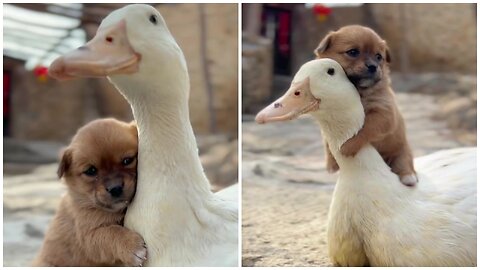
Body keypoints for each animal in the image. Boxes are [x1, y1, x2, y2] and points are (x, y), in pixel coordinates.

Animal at [32, 118, 147, 266]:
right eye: (91, 171)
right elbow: (112, 233)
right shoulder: (89, 235)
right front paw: (132, 246)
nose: (115, 188)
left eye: (127, 160)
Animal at [316, 24, 416, 186]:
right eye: (353, 52)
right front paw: (332, 163)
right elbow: (327, 142)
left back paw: (408, 177)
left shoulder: (384, 114)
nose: (373, 66)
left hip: (402, 150)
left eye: (379, 57)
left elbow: (365, 129)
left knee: (404, 163)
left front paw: (347, 148)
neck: (358, 92)